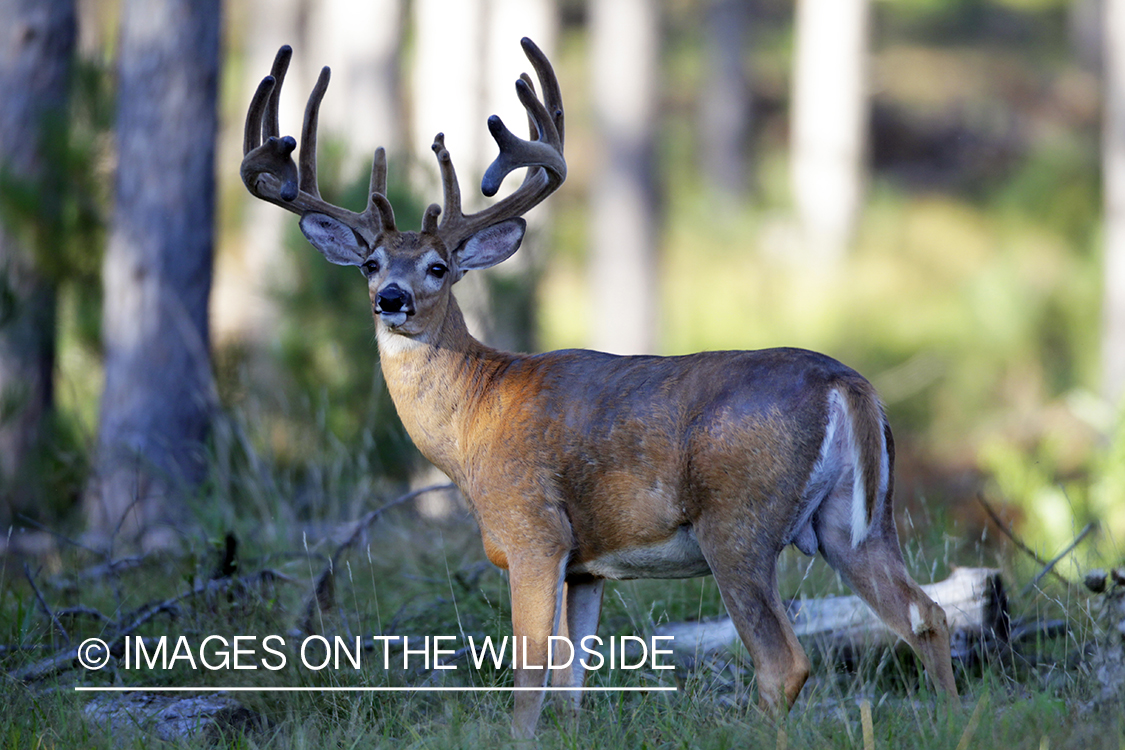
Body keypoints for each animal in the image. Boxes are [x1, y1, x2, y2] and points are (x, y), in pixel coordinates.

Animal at [239, 38, 958, 737]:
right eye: (370, 262)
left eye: (438, 267)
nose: (391, 299)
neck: (474, 415)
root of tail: (848, 384)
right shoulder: (587, 566)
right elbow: (570, 686)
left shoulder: (533, 532)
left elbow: (529, 678)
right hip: (854, 523)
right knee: (926, 614)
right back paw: (950, 717)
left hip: (738, 519)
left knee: (785, 661)